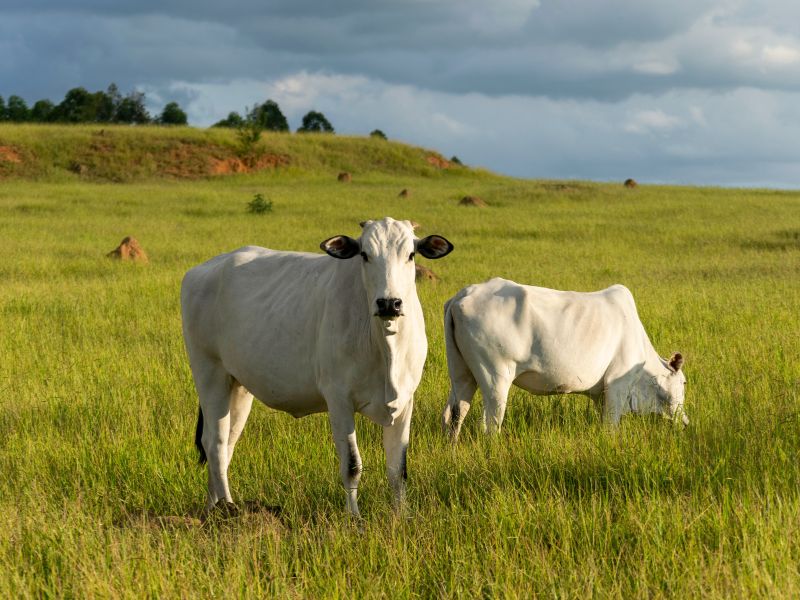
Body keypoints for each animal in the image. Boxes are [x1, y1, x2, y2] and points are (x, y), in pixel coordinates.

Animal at [184, 217, 454, 516]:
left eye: (411, 254)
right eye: (364, 254)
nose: (389, 303)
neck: (386, 347)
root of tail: (203, 269)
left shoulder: (405, 401)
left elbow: (398, 469)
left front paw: (402, 515)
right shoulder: (339, 400)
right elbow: (352, 465)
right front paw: (354, 517)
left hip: (239, 386)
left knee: (225, 443)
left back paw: (213, 507)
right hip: (209, 373)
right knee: (215, 443)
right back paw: (228, 509)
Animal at [440, 278, 684, 438]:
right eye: (683, 382)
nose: (685, 423)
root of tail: (463, 296)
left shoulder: (601, 394)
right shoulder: (618, 384)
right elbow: (611, 425)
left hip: (461, 373)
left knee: (454, 414)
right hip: (495, 376)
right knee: (490, 424)